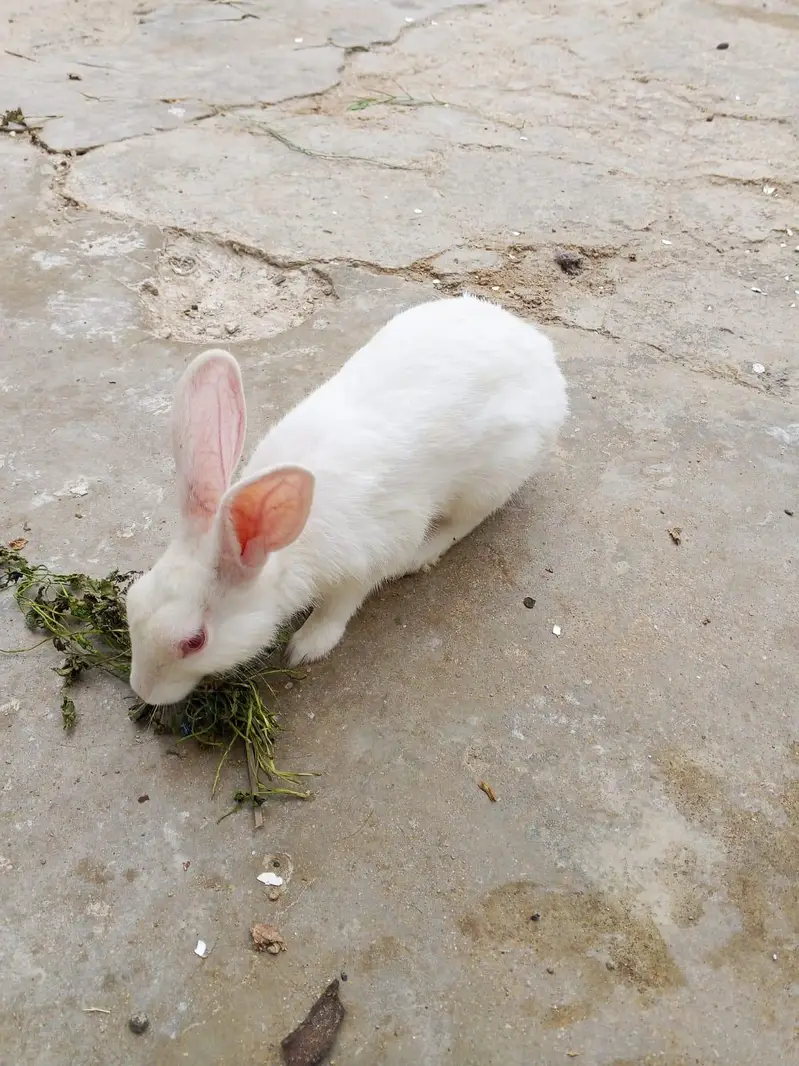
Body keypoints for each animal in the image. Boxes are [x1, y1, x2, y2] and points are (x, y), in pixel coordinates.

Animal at [126, 293, 568, 705]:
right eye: (132, 600)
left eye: (195, 641)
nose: (143, 691)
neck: (284, 550)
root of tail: (544, 355)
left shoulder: (369, 560)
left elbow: (339, 607)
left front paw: (306, 646)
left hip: (494, 475)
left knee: (466, 521)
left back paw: (424, 554)